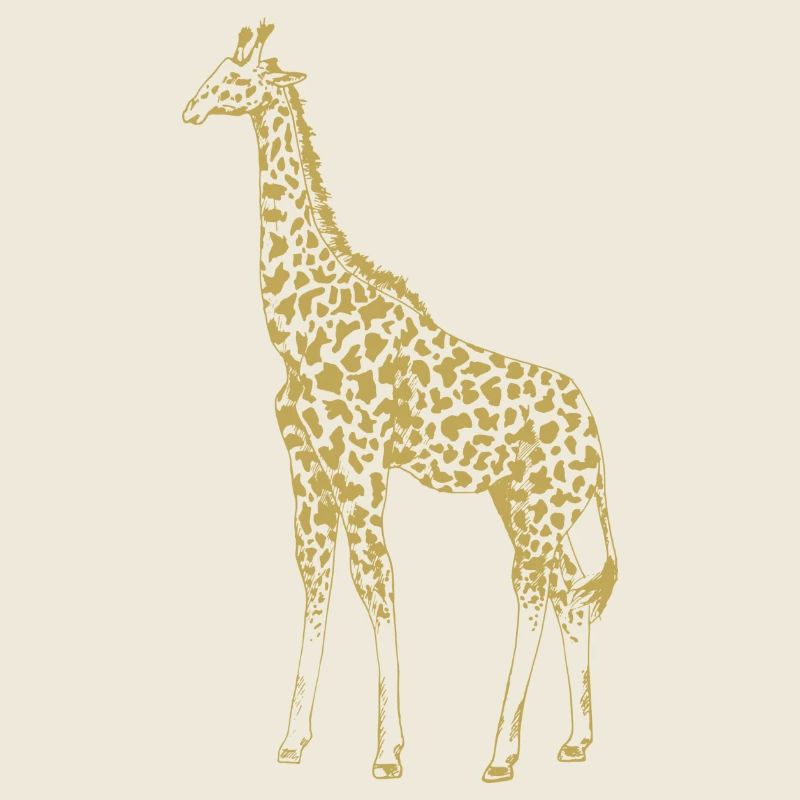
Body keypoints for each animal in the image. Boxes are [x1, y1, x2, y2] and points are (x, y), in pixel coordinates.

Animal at [183, 22, 618, 783]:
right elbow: (316, 581)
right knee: (570, 593)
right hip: (526, 504)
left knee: (534, 593)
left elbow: (376, 580)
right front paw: (292, 741)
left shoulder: (359, 466)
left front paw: (387, 751)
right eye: (214, 70)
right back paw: (573, 741)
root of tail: (597, 433)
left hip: (539, 511)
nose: (190, 108)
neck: (296, 324)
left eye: (235, 78)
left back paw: (500, 753)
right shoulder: (307, 466)